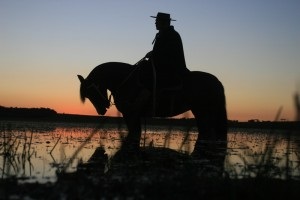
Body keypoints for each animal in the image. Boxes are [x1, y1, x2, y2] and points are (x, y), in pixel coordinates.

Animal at [78, 61, 227, 157]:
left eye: (91, 91)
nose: (101, 110)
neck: (125, 80)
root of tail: (217, 82)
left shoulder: (131, 114)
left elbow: (134, 132)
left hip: (204, 113)